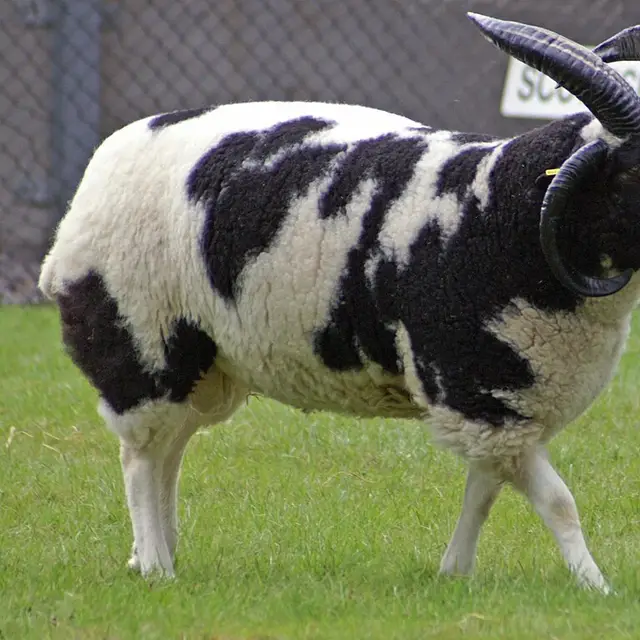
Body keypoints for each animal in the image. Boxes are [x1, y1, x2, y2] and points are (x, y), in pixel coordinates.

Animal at [38, 13, 640, 593]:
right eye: (632, 170)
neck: (500, 211)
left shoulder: (495, 404)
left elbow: (484, 490)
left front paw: (455, 574)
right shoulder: (475, 386)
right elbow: (558, 502)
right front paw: (597, 589)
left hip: (202, 362)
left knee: (170, 452)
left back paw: (156, 554)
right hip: (140, 344)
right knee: (141, 457)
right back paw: (157, 568)